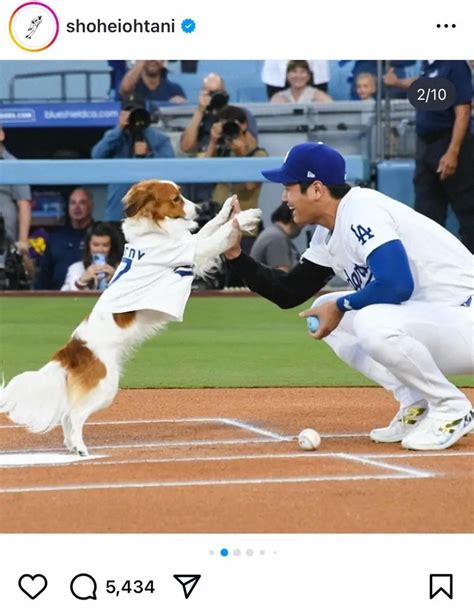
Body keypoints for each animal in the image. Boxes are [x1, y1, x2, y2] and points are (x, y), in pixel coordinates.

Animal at [0, 178, 260, 454]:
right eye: (175, 199)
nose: (199, 209)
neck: (153, 232)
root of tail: (72, 350)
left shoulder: (190, 245)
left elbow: (210, 228)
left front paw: (226, 210)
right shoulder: (193, 250)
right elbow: (219, 234)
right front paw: (245, 217)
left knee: (67, 415)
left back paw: (71, 445)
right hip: (106, 385)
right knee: (74, 414)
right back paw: (80, 448)